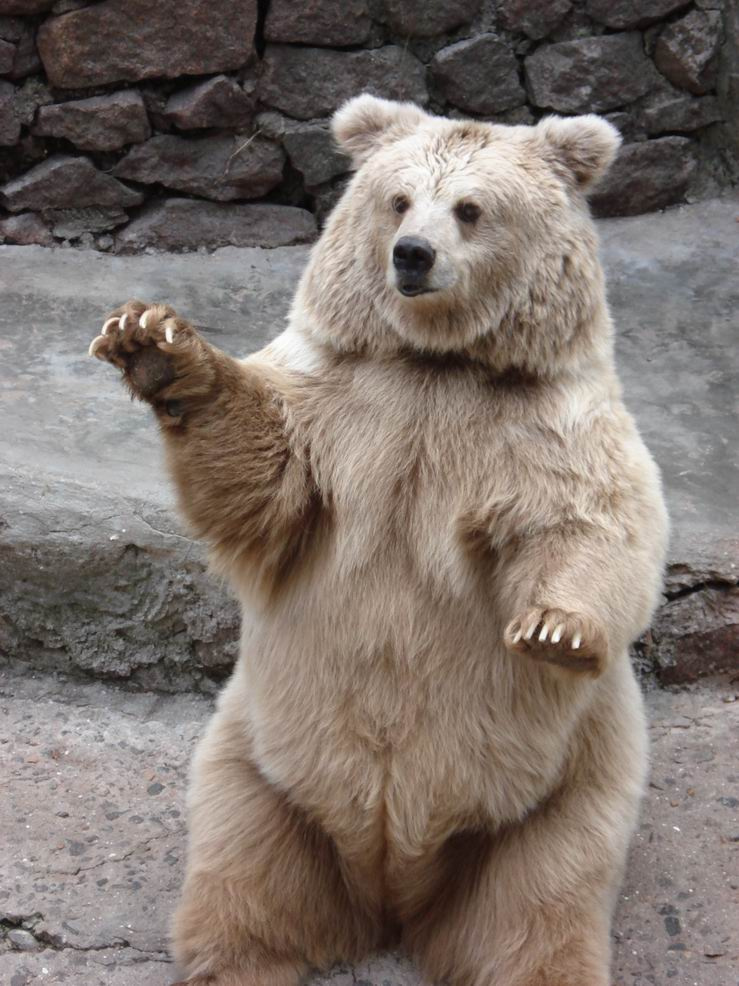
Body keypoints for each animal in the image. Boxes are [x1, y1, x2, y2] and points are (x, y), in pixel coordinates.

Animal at [89, 95, 669, 986]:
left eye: (469, 208)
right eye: (397, 199)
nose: (411, 255)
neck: (435, 360)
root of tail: (393, 893)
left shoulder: (544, 421)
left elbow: (590, 521)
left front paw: (555, 628)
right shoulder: (345, 400)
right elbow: (264, 468)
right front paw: (153, 342)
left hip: (569, 783)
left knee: (540, 900)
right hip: (256, 762)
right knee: (243, 871)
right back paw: (234, 961)